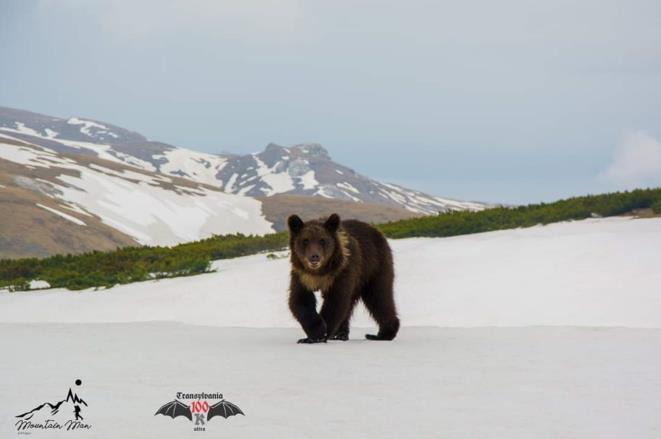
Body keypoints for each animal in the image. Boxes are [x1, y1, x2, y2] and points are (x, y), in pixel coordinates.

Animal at [288, 213, 400, 344]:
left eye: (322, 240)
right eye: (305, 240)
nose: (314, 256)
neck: (320, 273)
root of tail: (377, 231)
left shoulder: (341, 271)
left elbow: (336, 301)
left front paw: (320, 334)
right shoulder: (302, 276)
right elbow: (300, 301)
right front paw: (313, 333)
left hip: (374, 267)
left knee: (379, 297)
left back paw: (381, 334)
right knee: (352, 305)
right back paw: (341, 335)